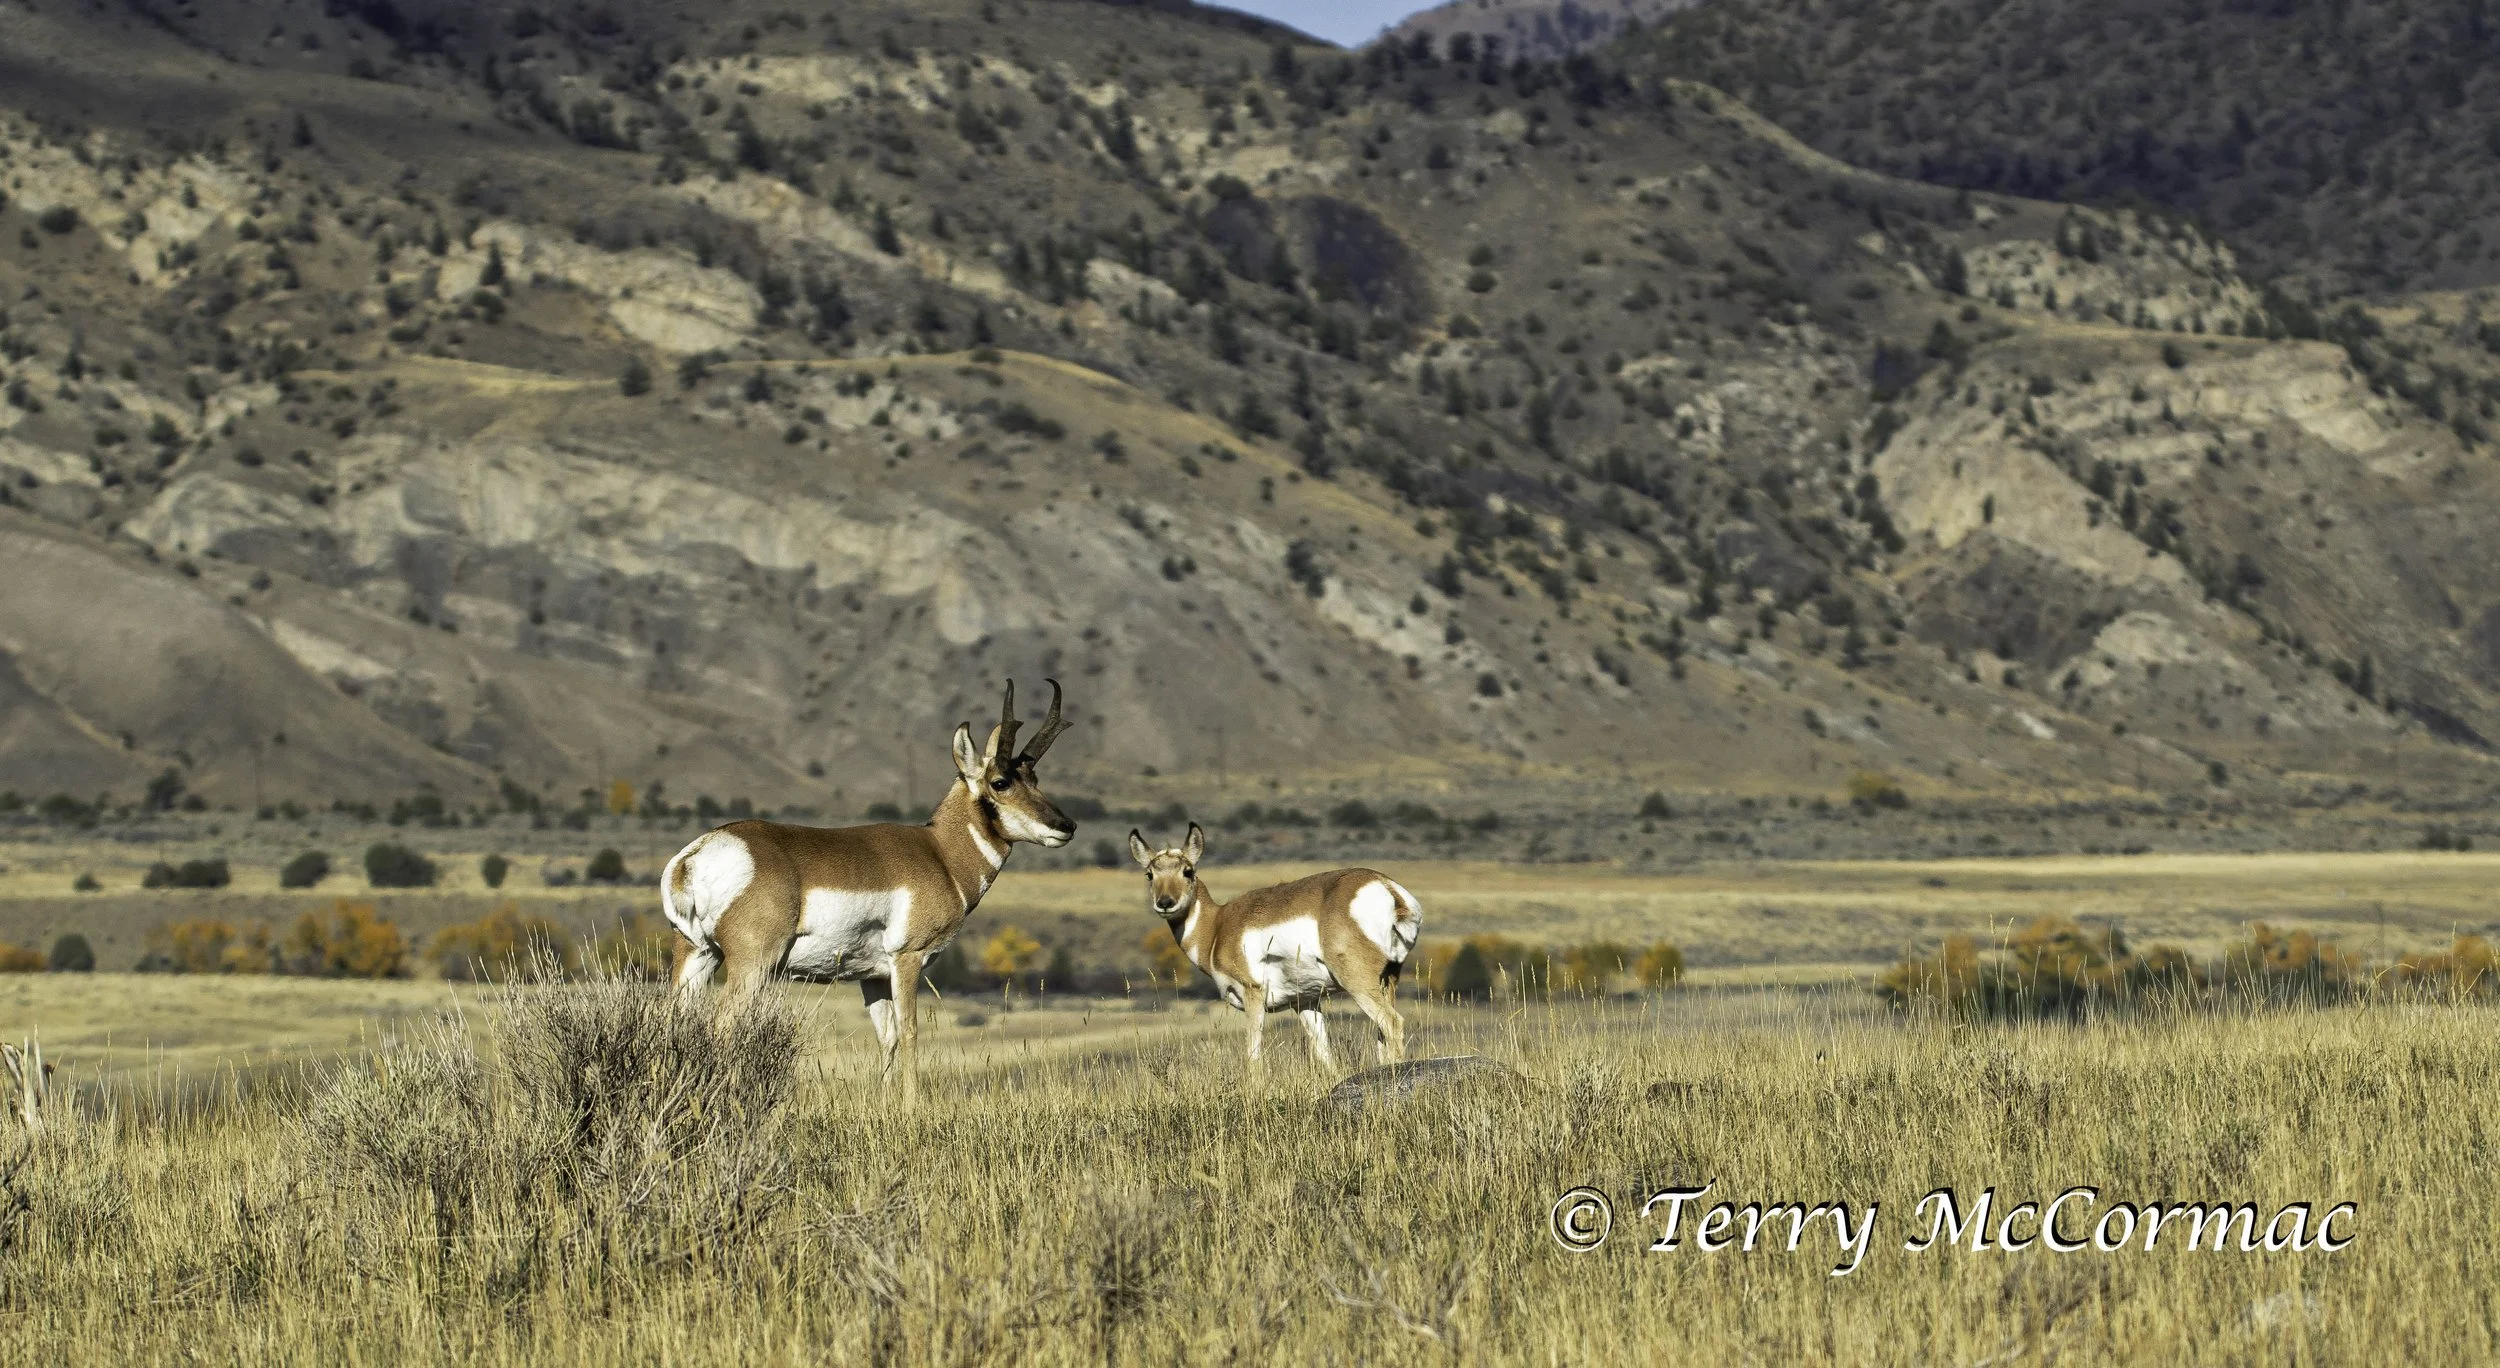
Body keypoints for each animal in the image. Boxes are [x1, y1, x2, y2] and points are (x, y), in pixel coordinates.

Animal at [661, 679, 1076, 1103]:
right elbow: (910, 1031)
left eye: (1035, 779)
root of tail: (700, 852)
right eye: (1000, 782)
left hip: (698, 954)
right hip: (752, 963)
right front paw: (911, 1107)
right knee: (723, 1026)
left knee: (674, 1021)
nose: (1066, 826)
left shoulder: (872, 976)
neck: (940, 853)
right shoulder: (907, 958)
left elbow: (886, 1037)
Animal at [1129, 823, 1421, 1072]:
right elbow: (1325, 1055)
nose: (1165, 902)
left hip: (1358, 983)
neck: (1217, 927)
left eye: (1187, 871)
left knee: (1392, 1023)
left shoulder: (1252, 995)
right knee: (1382, 1034)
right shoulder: (1305, 1002)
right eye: (1149, 874)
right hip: (1388, 980)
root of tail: (1388, 889)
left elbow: (1253, 1057)